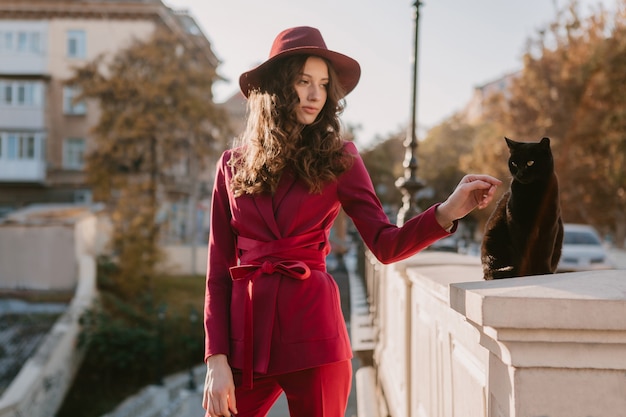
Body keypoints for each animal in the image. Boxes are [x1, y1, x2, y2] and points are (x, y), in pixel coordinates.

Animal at [480, 137, 564, 280]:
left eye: (530, 162)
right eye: (514, 163)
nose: (520, 174)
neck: (532, 191)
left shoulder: (550, 225)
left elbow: (545, 251)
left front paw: (544, 272)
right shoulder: (516, 224)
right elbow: (524, 252)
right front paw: (526, 273)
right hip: (492, 239)